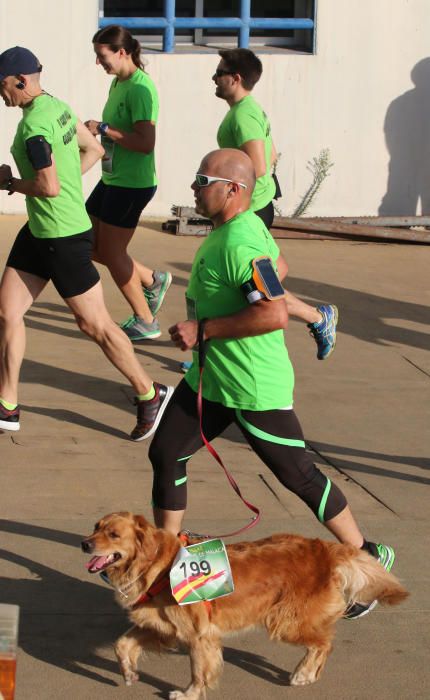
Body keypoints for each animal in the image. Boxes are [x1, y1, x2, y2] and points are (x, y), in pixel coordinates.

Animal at [82, 512, 408, 696]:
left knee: (324, 643)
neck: (156, 567)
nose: (85, 543)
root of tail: (324, 548)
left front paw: (189, 694)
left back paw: (304, 673)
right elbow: (122, 644)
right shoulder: (162, 627)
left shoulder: (199, 635)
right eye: (95, 527)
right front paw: (128, 672)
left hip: (285, 622)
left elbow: (198, 670)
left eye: (113, 534)